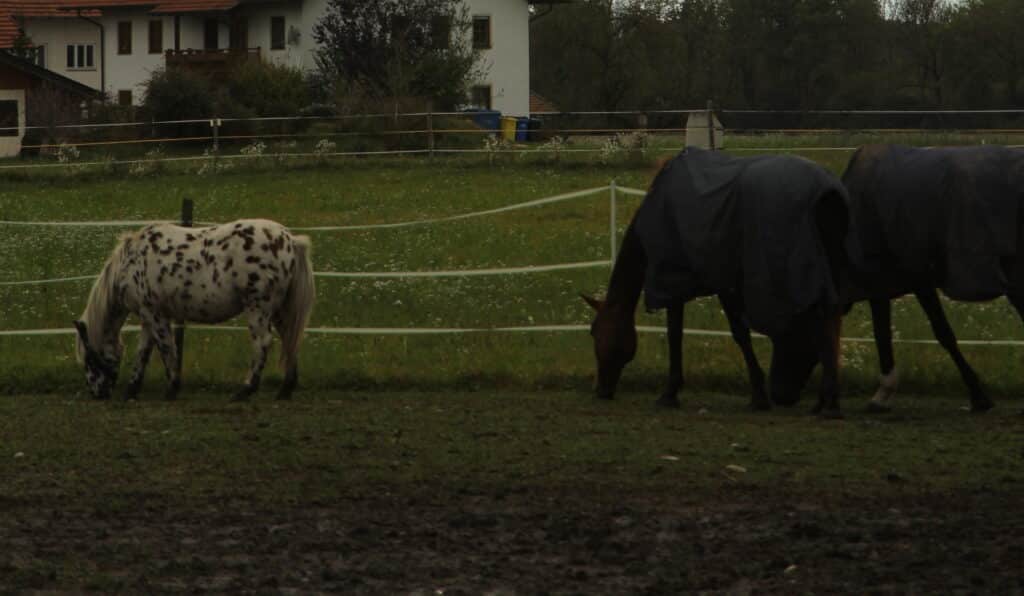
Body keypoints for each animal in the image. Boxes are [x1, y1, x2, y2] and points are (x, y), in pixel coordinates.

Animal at [75, 219, 315, 401]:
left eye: (88, 359)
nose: (96, 393)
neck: (132, 262)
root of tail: (289, 240)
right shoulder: (148, 316)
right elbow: (143, 352)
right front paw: (132, 390)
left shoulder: (155, 315)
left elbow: (166, 348)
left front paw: (172, 389)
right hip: (279, 310)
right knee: (290, 340)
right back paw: (285, 390)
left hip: (258, 308)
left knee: (262, 343)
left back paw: (246, 390)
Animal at [583, 147, 853, 417]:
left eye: (594, 332)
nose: (600, 390)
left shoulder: (689, 284)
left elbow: (702, 334)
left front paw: (671, 393)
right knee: (832, 324)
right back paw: (826, 402)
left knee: (824, 325)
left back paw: (830, 405)